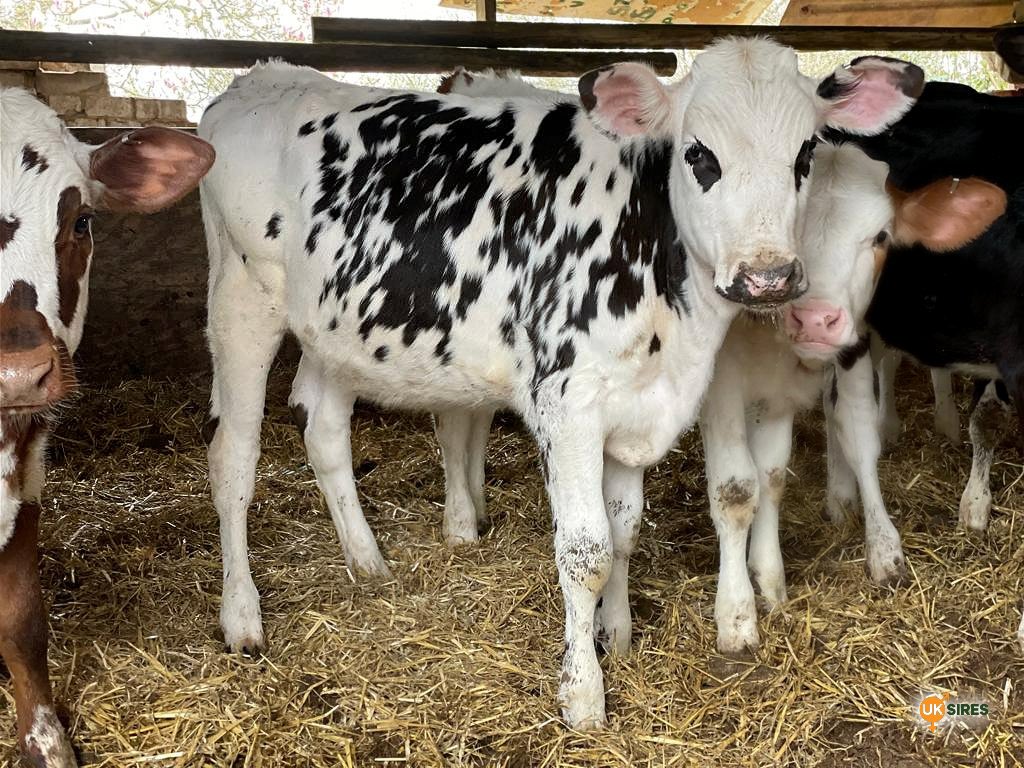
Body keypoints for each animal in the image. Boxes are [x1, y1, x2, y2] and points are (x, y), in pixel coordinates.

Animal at [198, 41, 922, 727]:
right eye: (698, 155)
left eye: (805, 154)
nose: (768, 277)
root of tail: (259, 78)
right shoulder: (566, 404)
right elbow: (586, 550)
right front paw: (583, 693)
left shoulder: (636, 403)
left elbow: (624, 527)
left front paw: (617, 635)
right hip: (241, 302)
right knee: (231, 458)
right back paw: (242, 616)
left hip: (334, 330)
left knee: (323, 428)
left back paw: (366, 560)